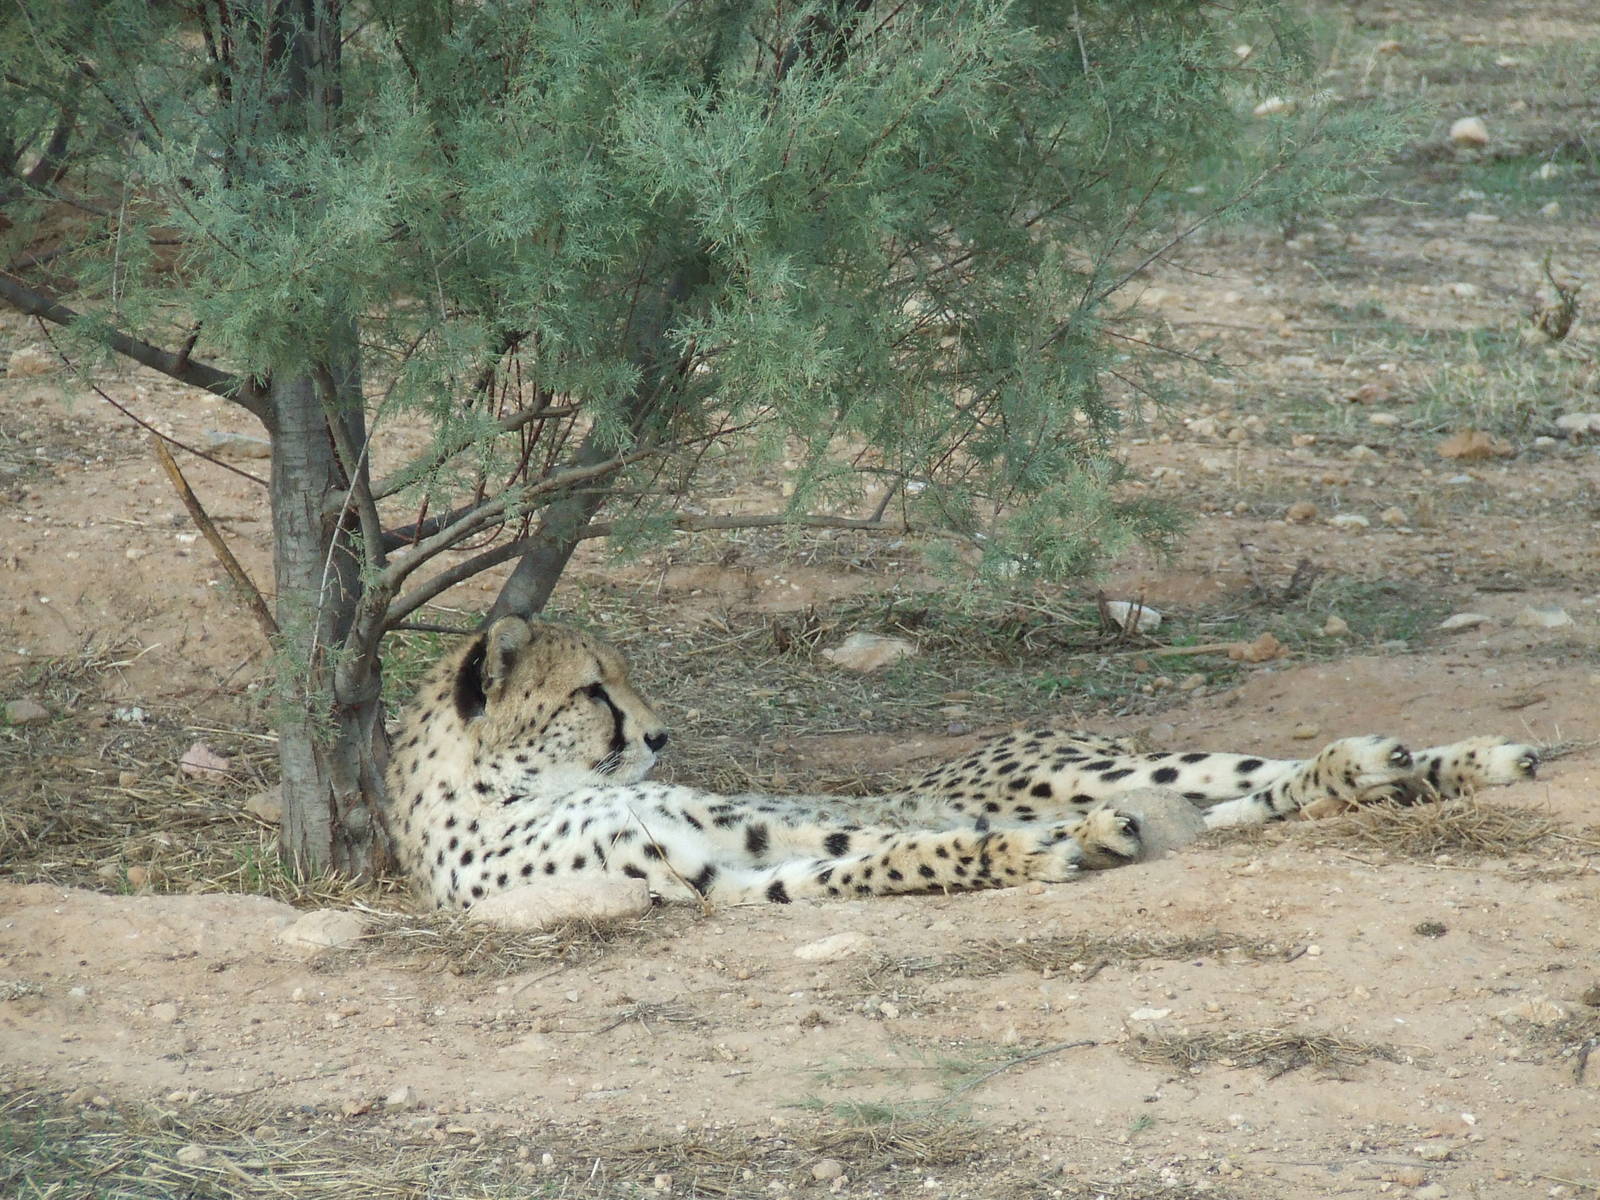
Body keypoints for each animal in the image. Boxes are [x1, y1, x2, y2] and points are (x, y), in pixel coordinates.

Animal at [383, 616, 1541, 910]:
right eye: (593, 693)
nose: (660, 734)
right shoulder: (718, 878)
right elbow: (875, 860)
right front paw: (1026, 858)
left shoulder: (746, 821)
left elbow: (878, 831)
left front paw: (1029, 846)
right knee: (1241, 805)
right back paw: (1387, 770)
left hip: (1101, 762)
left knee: (1242, 777)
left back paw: (1461, 756)